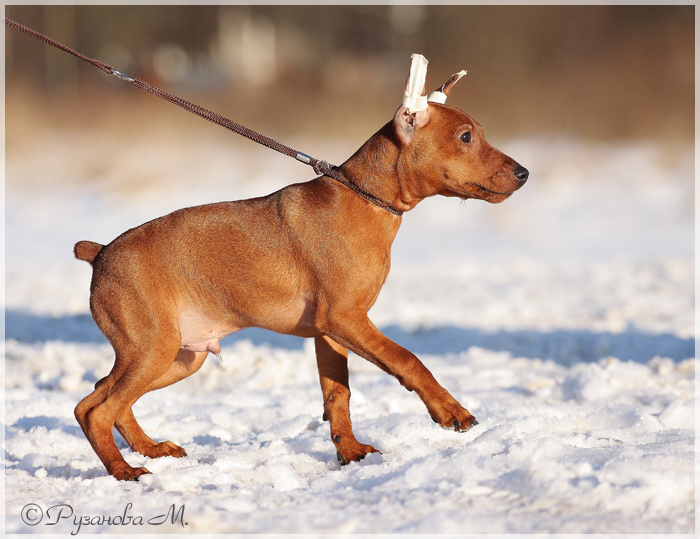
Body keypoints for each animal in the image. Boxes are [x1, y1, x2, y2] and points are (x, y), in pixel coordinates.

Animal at [74, 56, 528, 480]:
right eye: (465, 137)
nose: (524, 173)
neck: (365, 200)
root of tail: (101, 253)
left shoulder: (333, 330)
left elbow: (338, 394)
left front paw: (350, 451)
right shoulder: (344, 319)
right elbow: (408, 359)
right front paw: (451, 411)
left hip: (180, 356)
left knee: (98, 397)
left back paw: (150, 449)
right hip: (155, 348)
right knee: (97, 410)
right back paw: (124, 470)